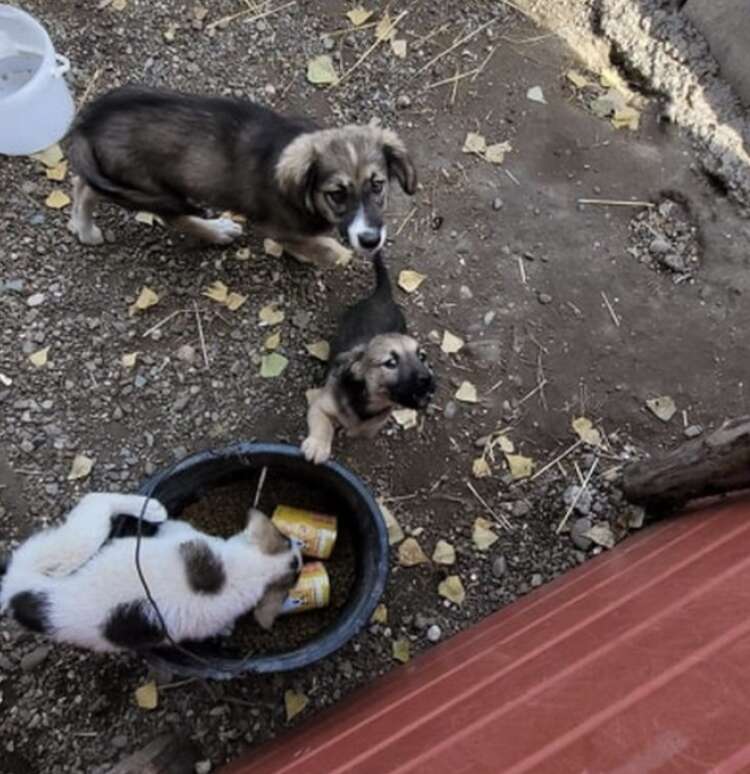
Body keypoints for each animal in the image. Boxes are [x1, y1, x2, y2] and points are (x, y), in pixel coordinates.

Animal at [1, 494, 306, 652]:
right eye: (286, 538)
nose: (301, 550)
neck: (252, 570)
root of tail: (18, 587)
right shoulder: (184, 534)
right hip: (80, 541)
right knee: (96, 498)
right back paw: (150, 507)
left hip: (78, 541)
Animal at [64, 87, 418, 268]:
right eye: (337, 194)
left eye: (377, 185)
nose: (370, 240)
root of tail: (88, 122)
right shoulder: (273, 226)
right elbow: (308, 242)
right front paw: (329, 254)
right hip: (151, 184)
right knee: (173, 216)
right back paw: (216, 230)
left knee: (83, 183)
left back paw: (81, 225)